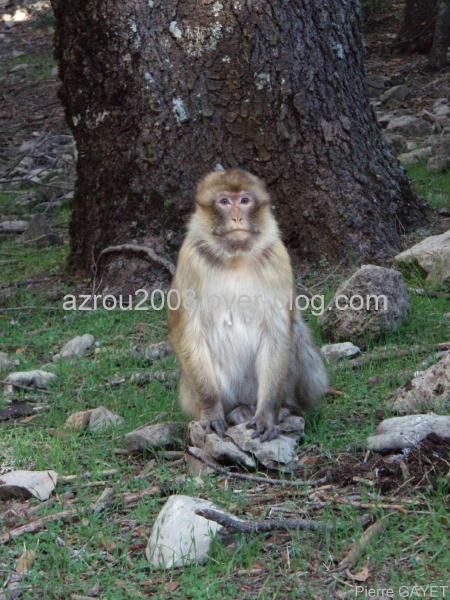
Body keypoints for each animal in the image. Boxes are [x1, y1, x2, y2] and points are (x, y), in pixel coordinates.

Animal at [168, 169, 326, 440]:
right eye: (224, 201)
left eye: (244, 200)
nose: (236, 217)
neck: (236, 258)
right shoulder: (190, 259)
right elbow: (189, 333)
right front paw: (211, 411)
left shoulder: (278, 258)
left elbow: (277, 333)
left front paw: (266, 415)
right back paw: (234, 411)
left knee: (295, 333)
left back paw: (283, 408)